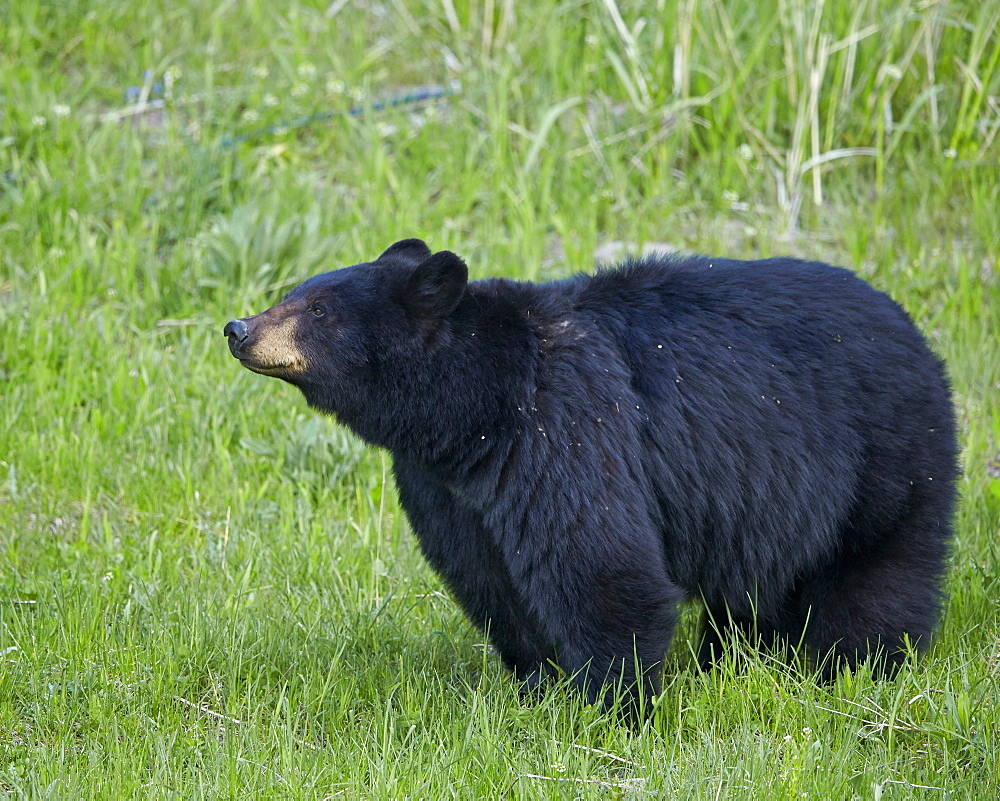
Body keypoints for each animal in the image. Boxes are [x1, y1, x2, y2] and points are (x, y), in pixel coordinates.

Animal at [223, 239, 956, 712]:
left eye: (319, 309)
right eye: (291, 293)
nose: (238, 328)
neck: (476, 407)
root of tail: (914, 327)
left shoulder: (564, 425)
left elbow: (602, 566)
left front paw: (611, 709)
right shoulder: (448, 488)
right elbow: (490, 579)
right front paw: (535, 690)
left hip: (882, 456)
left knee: (876, 575)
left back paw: (856, 671)